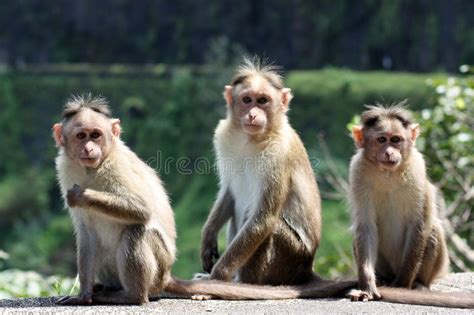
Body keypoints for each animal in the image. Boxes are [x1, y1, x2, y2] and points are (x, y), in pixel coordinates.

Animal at [346, 103, 472, 308]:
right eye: (381, 139)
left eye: (396, 139)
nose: (389, 152)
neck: (388, 173)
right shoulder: (357, 172)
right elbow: (365, 227)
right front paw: (368, 287)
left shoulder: (417, 168)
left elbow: (419, 224)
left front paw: (402, 284)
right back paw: (382, 279)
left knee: (433, 229)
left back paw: (418, 283)